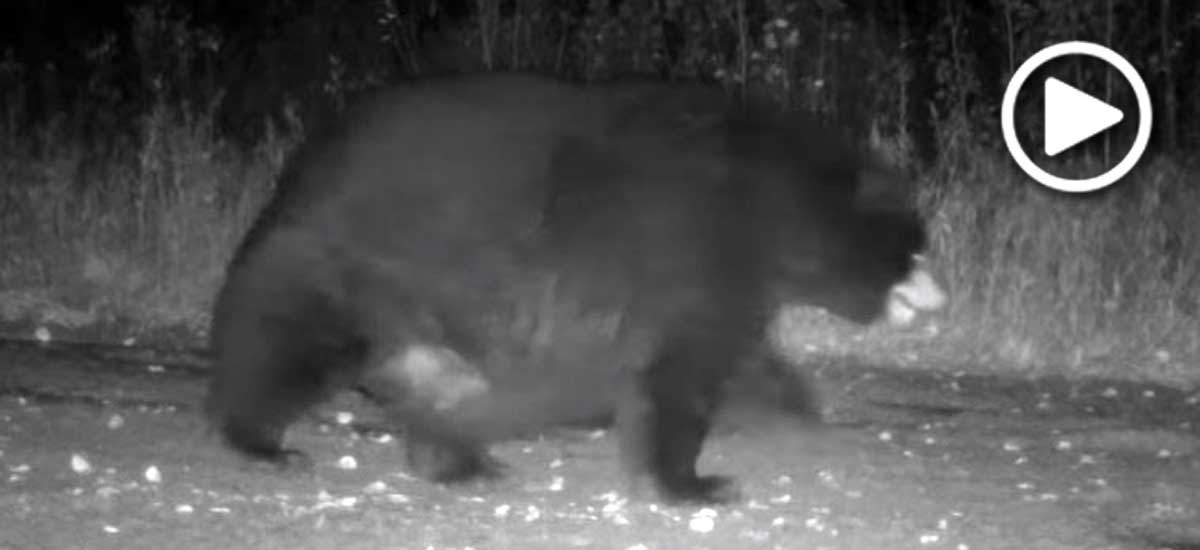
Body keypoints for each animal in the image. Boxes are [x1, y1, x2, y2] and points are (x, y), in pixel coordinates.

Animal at [203, 73, 946, 504]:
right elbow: (680, 370)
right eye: (918, 246)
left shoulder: (724, 280)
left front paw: (792, 411)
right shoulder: (696, 250)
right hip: (347, 270)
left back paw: (459, 459)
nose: (943, 295)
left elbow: (730, 360)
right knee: (284, 345)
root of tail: (297, 173)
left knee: (438, 388)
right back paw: (262, 441)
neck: (776, 212)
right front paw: (694, 483)